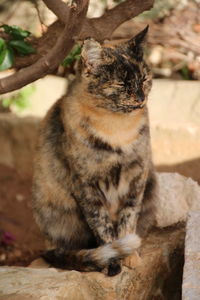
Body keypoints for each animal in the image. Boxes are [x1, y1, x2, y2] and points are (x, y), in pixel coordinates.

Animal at [31, 26, 156, 276]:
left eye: (144, 79)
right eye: (121, 84)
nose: (140, 98)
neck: (118, 131)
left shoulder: (137, 178)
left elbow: (128, 219)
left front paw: (131, 257)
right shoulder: (85, 184)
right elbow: (102, 226)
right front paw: (114, 262)